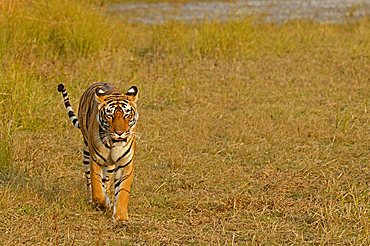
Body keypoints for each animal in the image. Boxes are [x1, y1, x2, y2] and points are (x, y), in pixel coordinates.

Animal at [57, 82, 139, 223]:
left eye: (127, 115)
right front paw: (103, 204)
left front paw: (121, 218)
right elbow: (97, 188)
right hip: (86, 153)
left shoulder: (125, 164)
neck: (113, 144)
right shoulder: (96, 161)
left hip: (110, 166)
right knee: (90, 181)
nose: (119, 132)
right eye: (110, 115)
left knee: (106, 181)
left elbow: (123, 191)